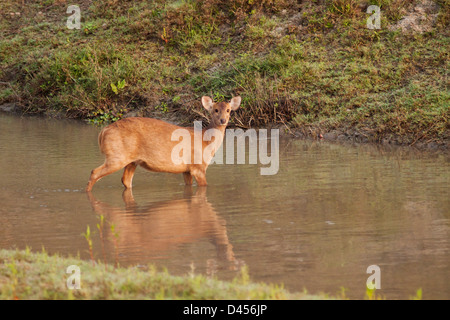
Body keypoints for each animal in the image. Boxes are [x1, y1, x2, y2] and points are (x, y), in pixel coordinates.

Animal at [84, 95, 239, 190]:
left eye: (229, 110)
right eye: (215, 110)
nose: (223, 120)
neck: (205, 141)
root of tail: (103, 131)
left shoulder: (186, 170)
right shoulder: (198, 166)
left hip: (132, 160)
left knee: (125, 179)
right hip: (116, 155)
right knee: (94, 172)